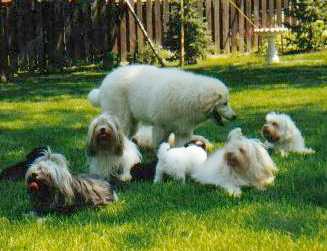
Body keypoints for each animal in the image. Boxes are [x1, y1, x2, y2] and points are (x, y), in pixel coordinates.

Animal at [88, 64, 236, 147]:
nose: (235, 116)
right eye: (225, 103)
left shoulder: (183, 131)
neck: (191, 96)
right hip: (122, 118)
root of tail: (106, 81)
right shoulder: (160, 127)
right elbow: (160, 146)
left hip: (133, 122)